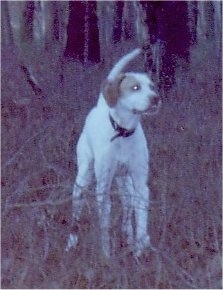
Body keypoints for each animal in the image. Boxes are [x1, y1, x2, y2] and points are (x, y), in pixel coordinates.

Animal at [65, 48, 161, 258]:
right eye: (135, 87)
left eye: (152, 87)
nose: (156, 98)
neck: (123, 133)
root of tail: (101, 106)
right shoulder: (103, 188)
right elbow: (105, 226)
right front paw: (106, 255)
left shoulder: (140, 185)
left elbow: (141, 221)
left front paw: (141, 249)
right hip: (83, 179)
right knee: (76, 213)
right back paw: (71, 242)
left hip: (125, 183)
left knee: (127, 209)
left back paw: (129, 238)